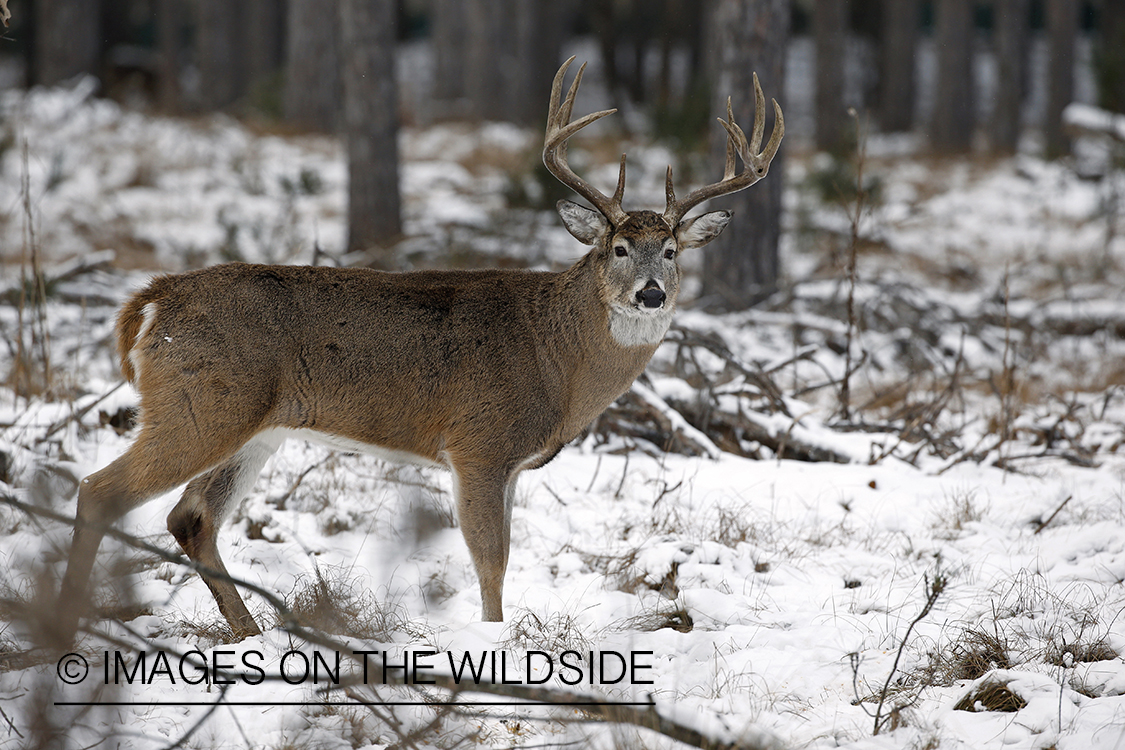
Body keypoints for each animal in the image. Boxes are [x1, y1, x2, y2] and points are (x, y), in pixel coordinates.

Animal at [54, 58, 783, 647]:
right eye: (619, 248)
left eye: (674, 250)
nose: (651, 294)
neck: (557, 357)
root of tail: (154, 298)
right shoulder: (479, 443)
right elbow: (491, 560)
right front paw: (495, 647)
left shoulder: (509, 464)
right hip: (197, 405)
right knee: (100, 491)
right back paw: (65, 624)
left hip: (256, 427)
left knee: (192, 517)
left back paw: (252, 636)